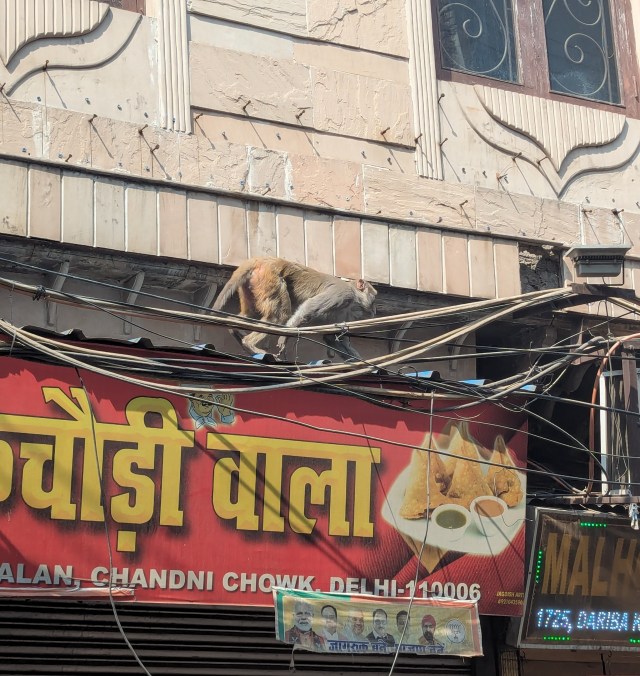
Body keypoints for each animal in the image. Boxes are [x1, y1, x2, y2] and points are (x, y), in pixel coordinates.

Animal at [212, 257, 377, 361]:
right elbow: (310, 306)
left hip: (252, 284)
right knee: (279, 316)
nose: (375, 310)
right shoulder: (342, 294)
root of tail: (260, 260)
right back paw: (249, 343)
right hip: (270, 278)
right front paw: (284, 338)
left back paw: (234, 329)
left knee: (250, 312)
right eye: (374, 298)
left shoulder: (345, 309)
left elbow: (331, 337)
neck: (353, 293)